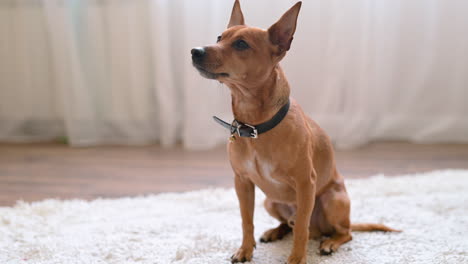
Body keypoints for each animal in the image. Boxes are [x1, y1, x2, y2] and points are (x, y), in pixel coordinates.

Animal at [190, 1, 398, 262]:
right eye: (220, 37)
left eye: (241, 44)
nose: (195, 51)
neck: (256, 125)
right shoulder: (242, 183)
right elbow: (246, 221)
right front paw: (245, 250)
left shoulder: (305, 184)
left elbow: (301, 228)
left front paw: (297, 258)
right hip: (270, 202)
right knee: (289, 224)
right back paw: (275, 231)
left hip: (332, 200)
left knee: (343, 232)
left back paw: (330, 242)